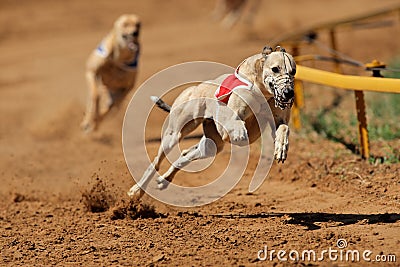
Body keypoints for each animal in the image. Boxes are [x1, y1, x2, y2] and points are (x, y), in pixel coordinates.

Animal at [128, 46, 296, 199]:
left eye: (293, 71)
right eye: (275, 69)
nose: (289, 93)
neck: (262, 90)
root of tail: (194, 88)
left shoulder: (277, 120)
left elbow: (283, 128)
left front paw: (281, 147)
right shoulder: (228, 125)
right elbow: (235, 124)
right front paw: (240, 132)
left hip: (211, 146)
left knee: (186, 153)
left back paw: (164, 180)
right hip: (174, 135)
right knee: (156, 162)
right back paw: (137, 190)